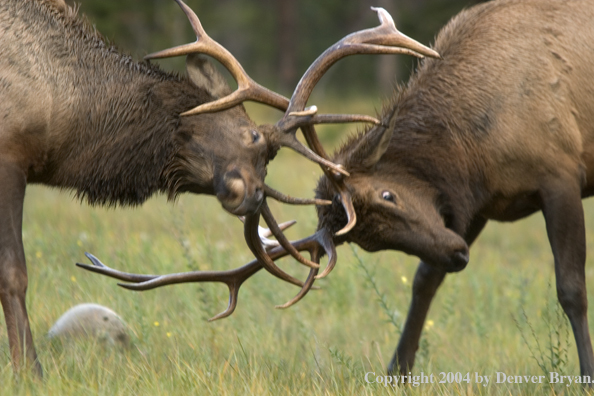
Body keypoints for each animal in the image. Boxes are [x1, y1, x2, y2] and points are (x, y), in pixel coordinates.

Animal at [2, 0, 438, 376]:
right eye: (254, 137)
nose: (253, 195)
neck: (66, 118)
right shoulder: (10, 156)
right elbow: (15, 273)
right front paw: (30, 373)